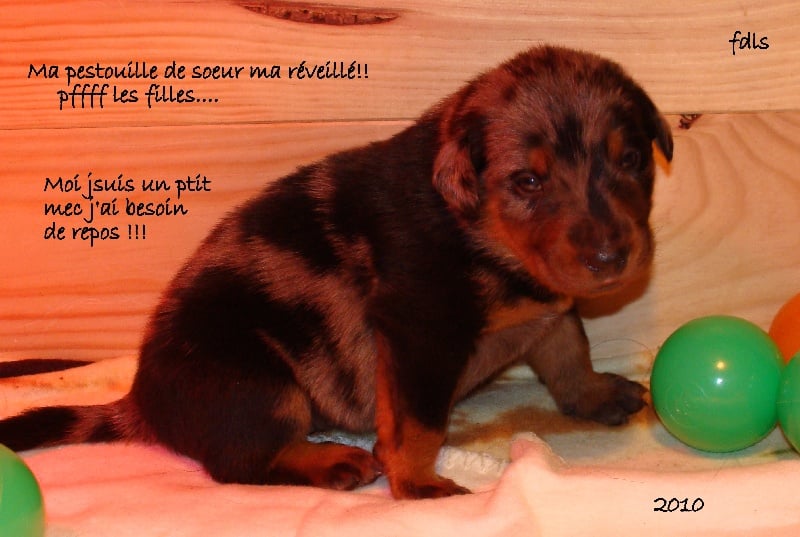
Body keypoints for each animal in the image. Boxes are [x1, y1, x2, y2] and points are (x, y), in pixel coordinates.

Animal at [0, 46, 672, 499]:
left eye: (632, 160)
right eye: (528, 181)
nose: (611, 258)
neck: (483, 234)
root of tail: (141, 402)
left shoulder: (552, 307)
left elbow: (569, 351)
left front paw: (594, 394)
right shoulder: (417, 333)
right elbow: (415, 425)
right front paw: (418, 487)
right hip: (262, 386)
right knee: (239, 464)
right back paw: (329, 462)